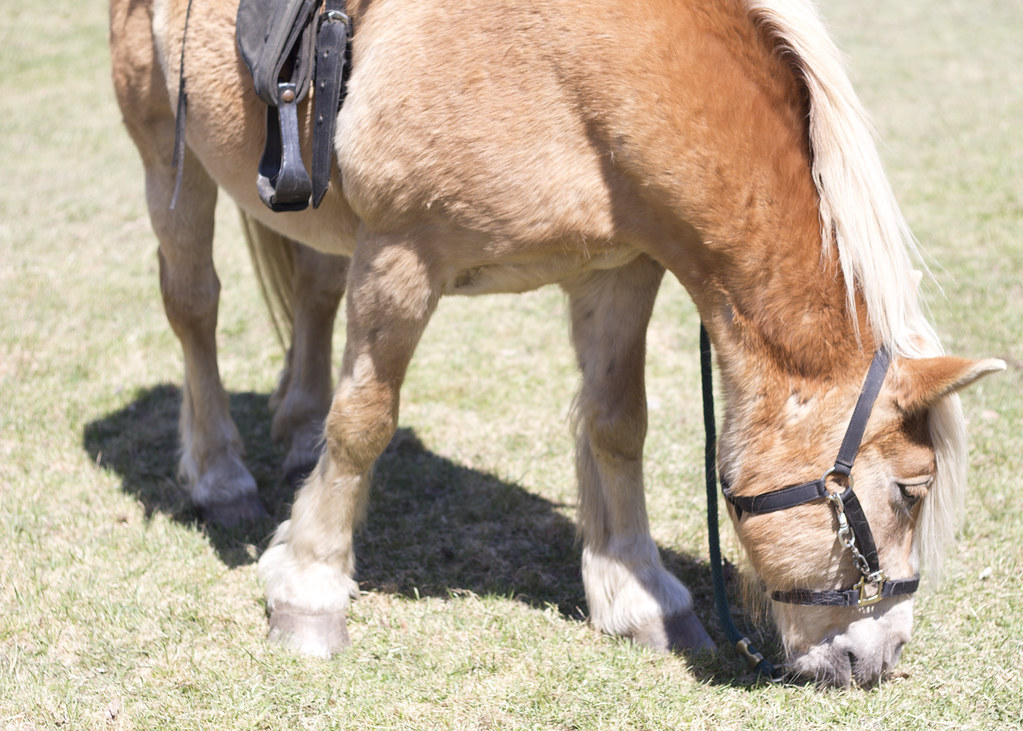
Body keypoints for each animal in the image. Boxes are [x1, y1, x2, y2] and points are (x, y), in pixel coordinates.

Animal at [109, 0, 1004, 686]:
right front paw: (311, 588)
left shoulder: (618, 271)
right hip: (165, 150)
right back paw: (220, 474)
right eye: (910, 491)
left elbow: (617, 424)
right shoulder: (400, 258)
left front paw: (638, 592)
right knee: (193, 307)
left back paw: (297, 437)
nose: (878, 657)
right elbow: (364, 421)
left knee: (313, 294)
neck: (570, 68)